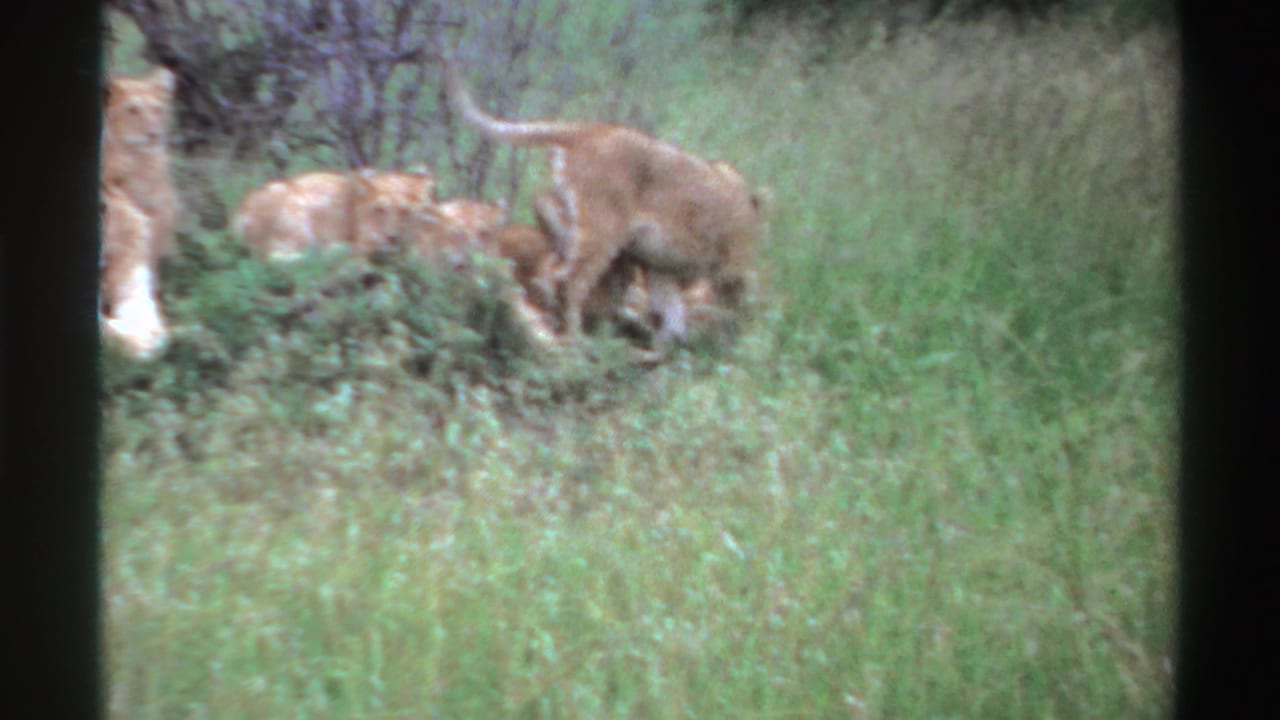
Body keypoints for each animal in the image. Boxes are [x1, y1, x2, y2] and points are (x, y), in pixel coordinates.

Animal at [443, 64, 768, 352]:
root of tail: (587, 129)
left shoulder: (660, 266)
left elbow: (669, 315)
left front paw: (667, 353)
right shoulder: (733, 266)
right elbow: (743, 305)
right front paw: (744, 345)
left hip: (570, 211)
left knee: (542, 217)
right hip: (603, 228)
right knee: (568, 281)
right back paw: (575, 342)